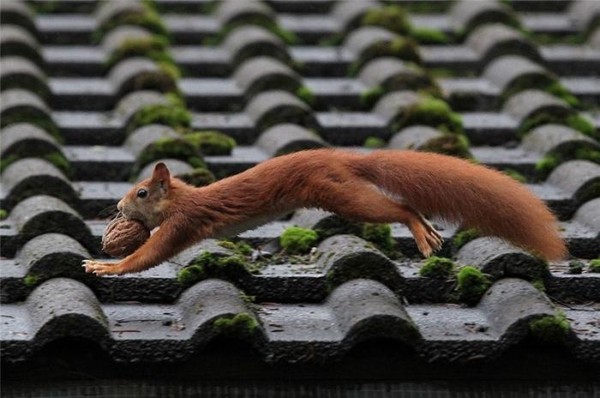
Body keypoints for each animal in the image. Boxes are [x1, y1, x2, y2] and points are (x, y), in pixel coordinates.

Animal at [84, 148, 568, 276]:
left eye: (141, 192)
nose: (118, 207)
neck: (183, 197)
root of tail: (342, 157)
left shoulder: (184, 223)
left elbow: (152, 255)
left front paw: (108, 266)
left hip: (343, 195)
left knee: (399, 207)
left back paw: (419, 230)